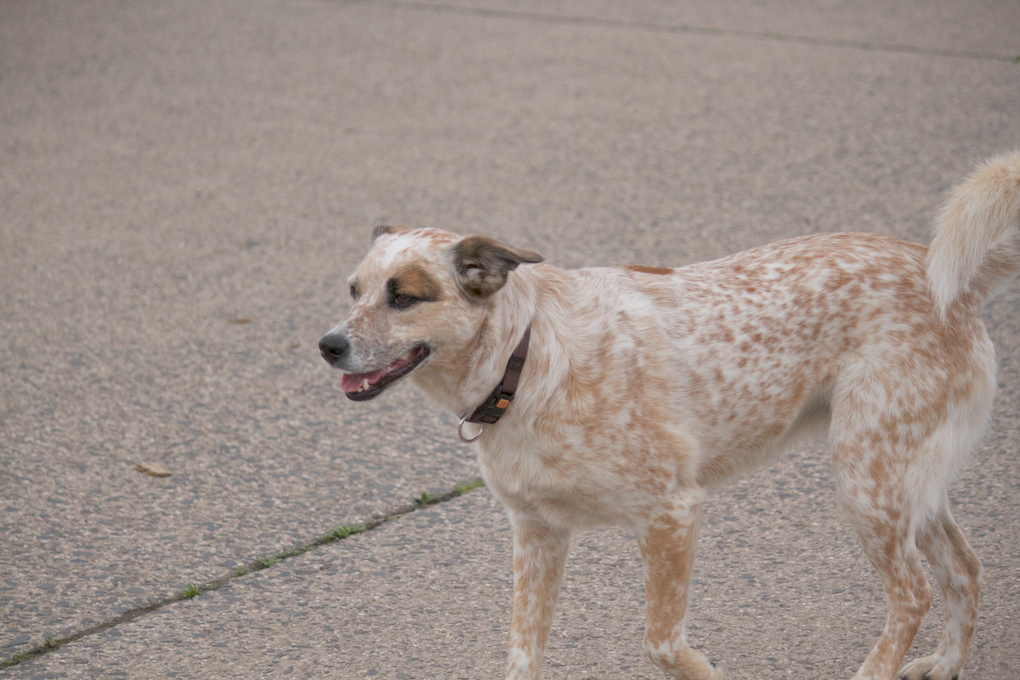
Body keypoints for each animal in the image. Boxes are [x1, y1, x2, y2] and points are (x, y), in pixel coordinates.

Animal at [319, 151, 1020, 680]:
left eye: (404, 297)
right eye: (354, 291)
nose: (327, 345)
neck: (527, 359)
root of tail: (950, 280)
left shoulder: (671, 514)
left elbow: (660, 643)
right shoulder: (538, 532)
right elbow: (522, 653)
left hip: (866, 481)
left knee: (914, 593)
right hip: (904, 483)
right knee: (963, 569)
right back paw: (946, 663)